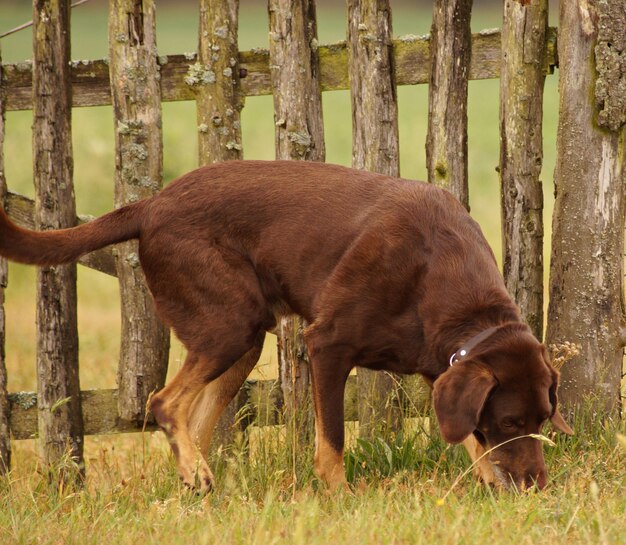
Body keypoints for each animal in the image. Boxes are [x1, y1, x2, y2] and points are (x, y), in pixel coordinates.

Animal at [0, 160, 572, 488]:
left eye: (544, 420)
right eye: (511, 422)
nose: (538, 486)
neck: (437, 271)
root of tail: (150, 205)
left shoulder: (444, 367)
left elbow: (470, 438)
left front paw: (491, 483)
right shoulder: (327, 347)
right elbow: (332, 442)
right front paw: (339, 501)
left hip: (244, 341)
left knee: (192, 419)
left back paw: (198, 482)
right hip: (231, 324)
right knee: (163, 403)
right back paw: (195, 472)